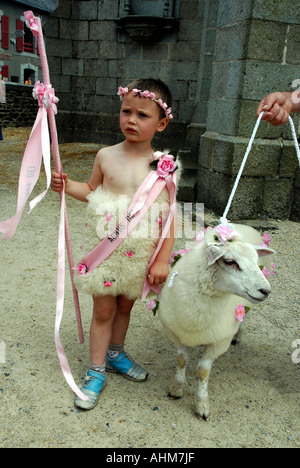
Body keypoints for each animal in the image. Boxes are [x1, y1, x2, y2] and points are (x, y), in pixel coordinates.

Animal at [158, 223, 276, 420]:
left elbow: (203, 371)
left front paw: (202, 405)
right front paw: (176, 389)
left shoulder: (220, 342)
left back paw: (238, 335)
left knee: (244, 318)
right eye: (230, 262)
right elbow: (181, 360)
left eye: (255, 260)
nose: (265, 291)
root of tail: (244, 225)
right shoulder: (175, 333)